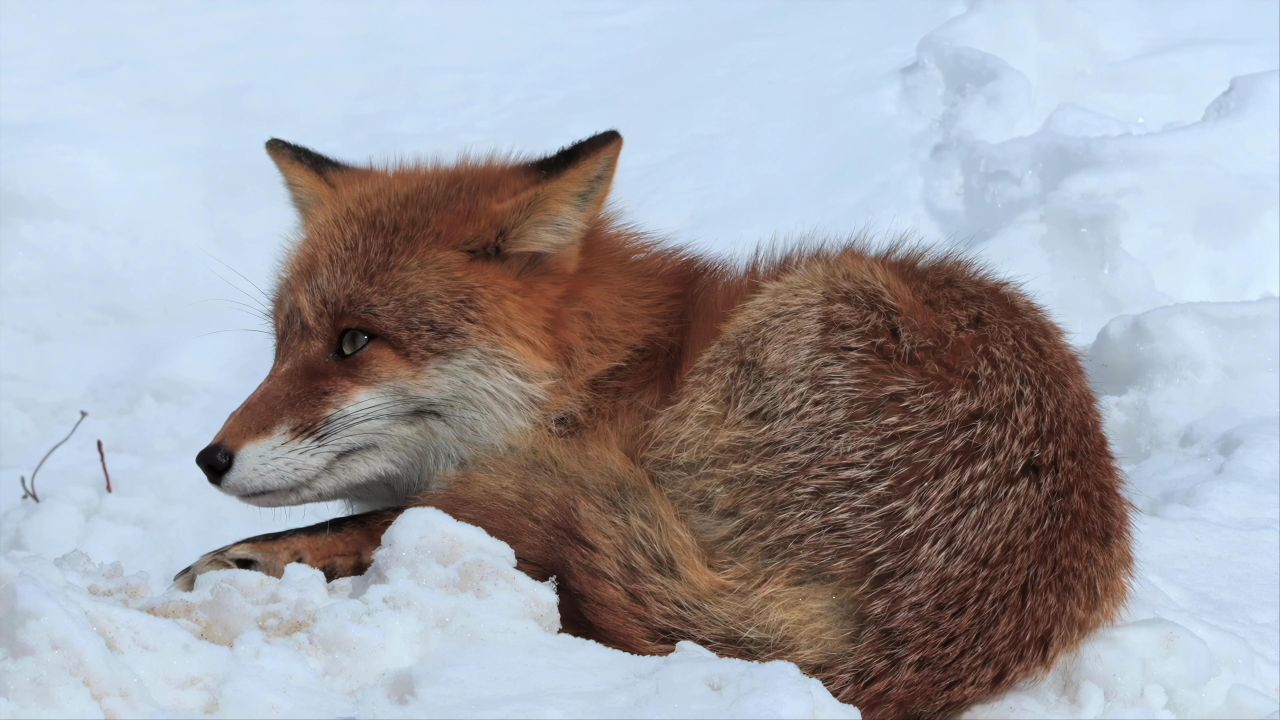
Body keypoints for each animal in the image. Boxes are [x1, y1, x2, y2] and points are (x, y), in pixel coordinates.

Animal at [177, 131, 1131, 712]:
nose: (210, 459)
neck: (608, 369)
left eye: (355, 341)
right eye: (282, 342)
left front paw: (253, 557)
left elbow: (398, 515)